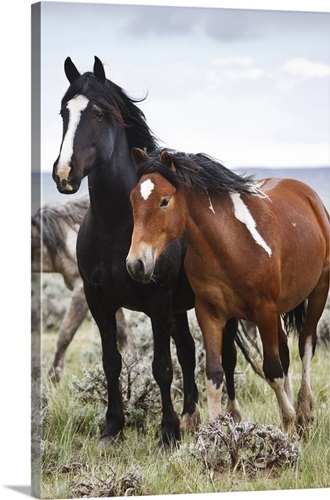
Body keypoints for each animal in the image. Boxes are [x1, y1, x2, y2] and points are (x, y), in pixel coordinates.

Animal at [51, 56, 241, 448]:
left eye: (98, 114)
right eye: (64, 112)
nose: (64, 174)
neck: (117, 227)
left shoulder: (156, 301)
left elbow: (161, 366)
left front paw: (167, 433)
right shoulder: (98, 299)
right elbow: (112, 361)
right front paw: (112, 428)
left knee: (226, 357)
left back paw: (228, 418)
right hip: (179, 308)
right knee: (187, 352)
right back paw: (191, 417)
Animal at [127, 147, 330, 434]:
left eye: (164, 201)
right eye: (133, 199)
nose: (136, 264)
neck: (231, 244)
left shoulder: (264, 311)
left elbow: (272, 370)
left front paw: (289, 422)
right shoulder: (210, 314)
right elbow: (214, 374)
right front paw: (213, 432)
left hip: (318, 292)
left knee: (306, 345)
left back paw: (305, 410)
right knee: (286, 352)